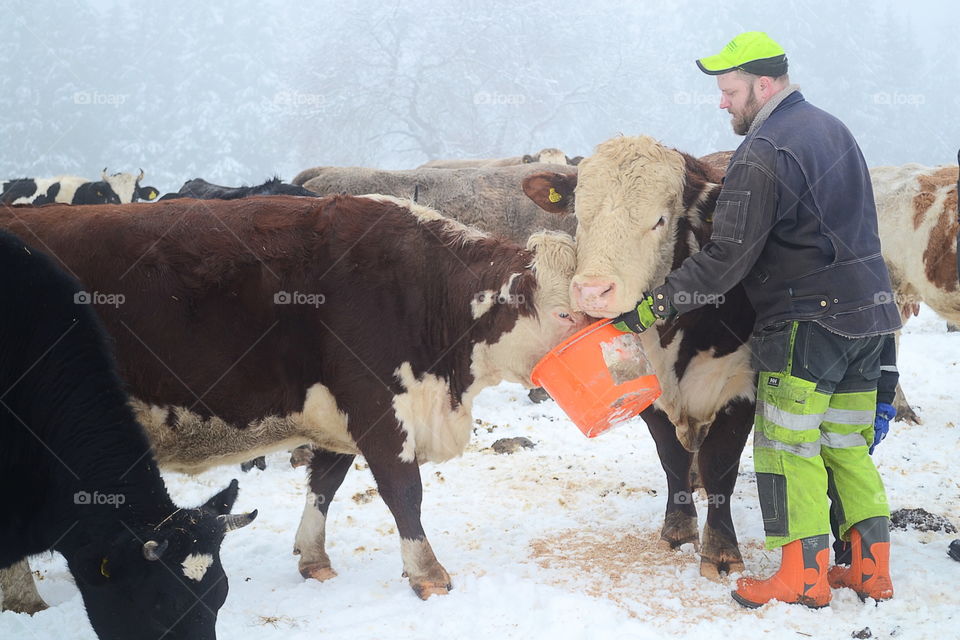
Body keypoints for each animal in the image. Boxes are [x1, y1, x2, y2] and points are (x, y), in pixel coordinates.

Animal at [0, 192, 584, 596]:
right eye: (564, 313)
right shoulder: (377, 404)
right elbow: (404, 493)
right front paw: (428, 574)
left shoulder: (337, 410)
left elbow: (325, 482)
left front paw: (313, 558)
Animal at [524, 136, 756, 580]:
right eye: (580, 214)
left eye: (660, 220)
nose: (592, 291)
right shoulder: (650, 393)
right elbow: (672, 459)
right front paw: (678, 529)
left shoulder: (742, 386)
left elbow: (721, 466)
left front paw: (721, 552)